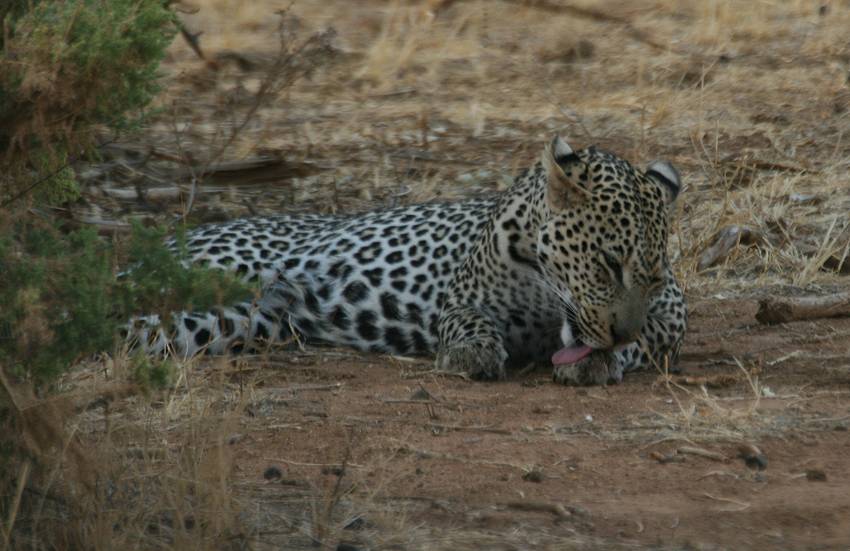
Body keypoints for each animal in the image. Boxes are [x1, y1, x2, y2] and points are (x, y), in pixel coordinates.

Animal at [134, 137, 688, 388]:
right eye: (607, 262)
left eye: (652, 276)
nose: (614, 334)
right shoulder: (463, 298)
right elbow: (468, 321)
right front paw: (470, 354)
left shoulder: (672, 312)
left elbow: (648, 335)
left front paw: (603, 356)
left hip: (239, 322)